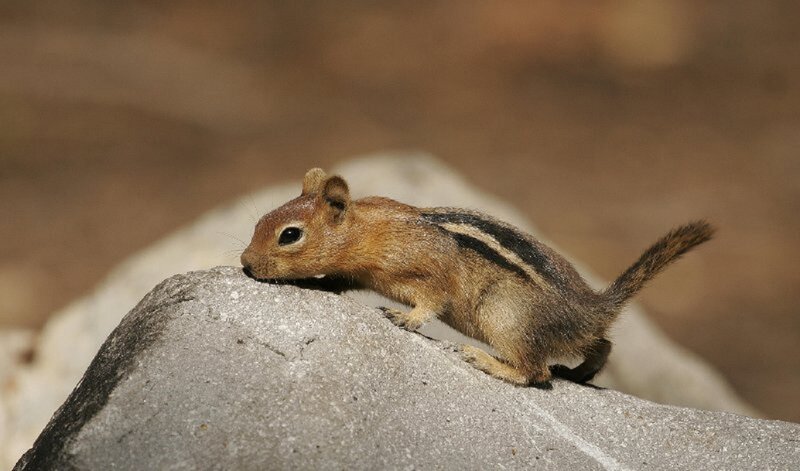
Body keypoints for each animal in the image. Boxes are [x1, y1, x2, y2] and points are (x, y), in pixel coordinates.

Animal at [241, 168, 714, 387]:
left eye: (289, 235)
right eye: (260, 220)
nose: (246, 264)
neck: (369, 229)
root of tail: (590, 307)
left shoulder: (428, 273)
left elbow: (432, 300)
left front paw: (406, 319)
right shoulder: (360, 273)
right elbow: (341, 280)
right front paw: (318, 282)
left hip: (503, 315)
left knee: (534, 374)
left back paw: (485, 360)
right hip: (571, 332)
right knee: (602, 345)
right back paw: (580, 373)